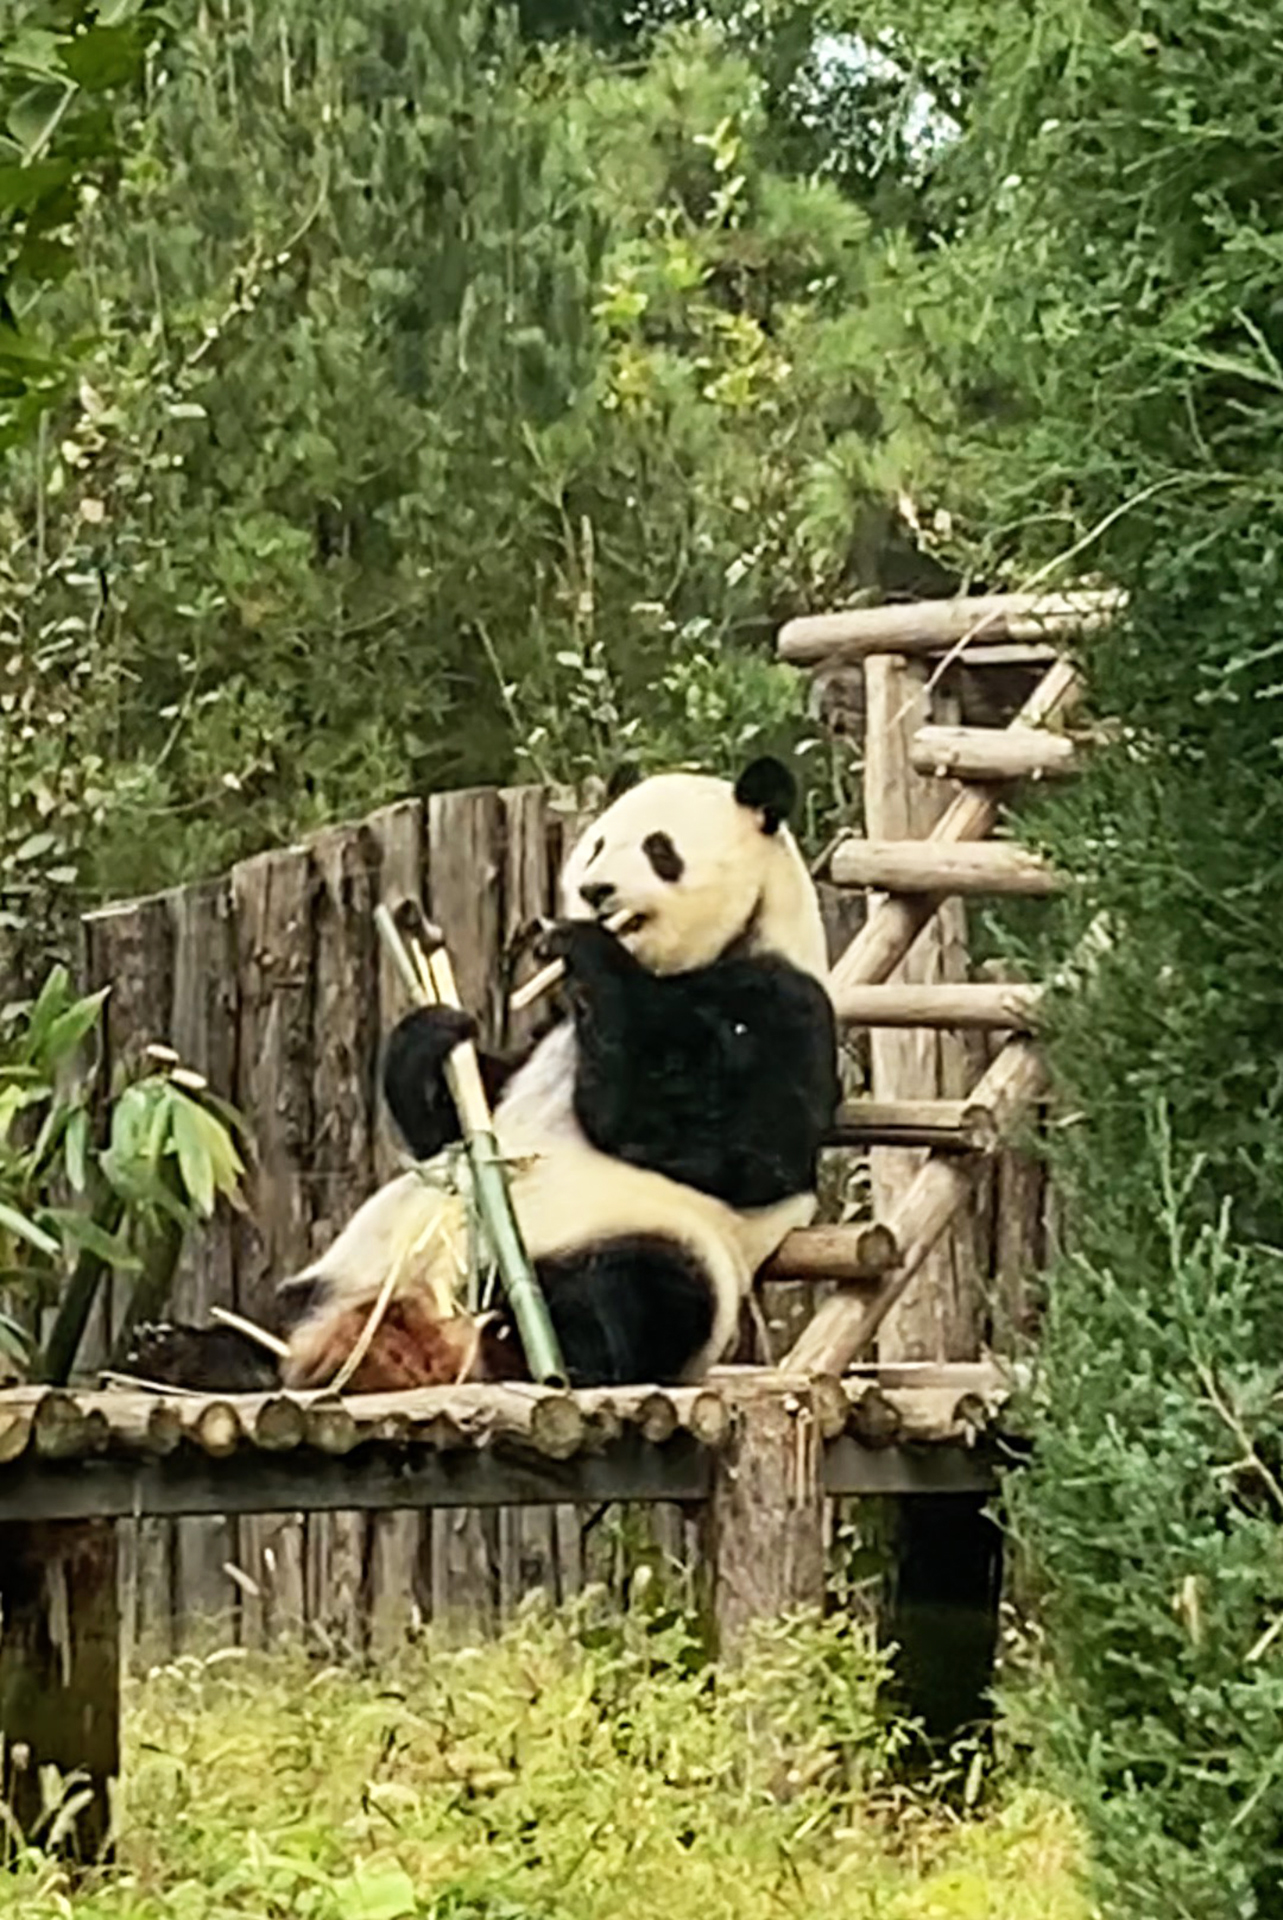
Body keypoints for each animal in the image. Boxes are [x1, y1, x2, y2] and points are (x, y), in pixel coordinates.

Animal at [130, 756, 838, 1393]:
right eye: (598, 844)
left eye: (660, 850)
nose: (595, 892)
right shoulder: (548, 1030)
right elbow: (464, 1113)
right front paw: (433, 1035)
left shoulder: (783, 1001)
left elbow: (732, 1139)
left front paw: (586, 948)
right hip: (359, 1255)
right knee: (283, 1308)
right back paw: (193, 1353)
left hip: (656, 1243)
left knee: (639, 1293)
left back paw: (517, 1347)